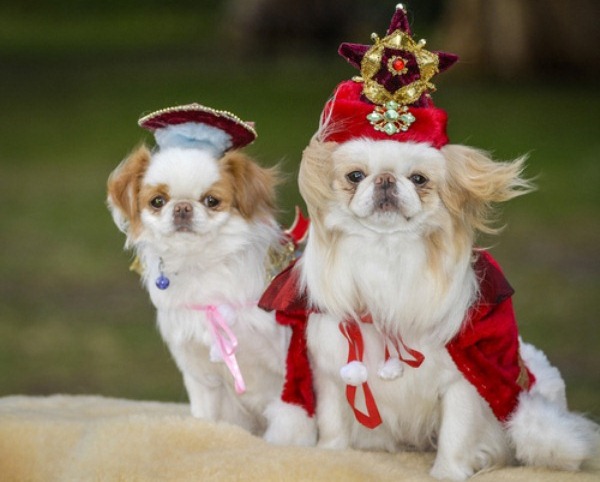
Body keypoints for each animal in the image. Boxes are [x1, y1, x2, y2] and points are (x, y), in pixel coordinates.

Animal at [107, 104, 290, 435]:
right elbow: (206, 418)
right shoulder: (201, 377)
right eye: (157, 201)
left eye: (211, 201)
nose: (182, 207)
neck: (201, 265)